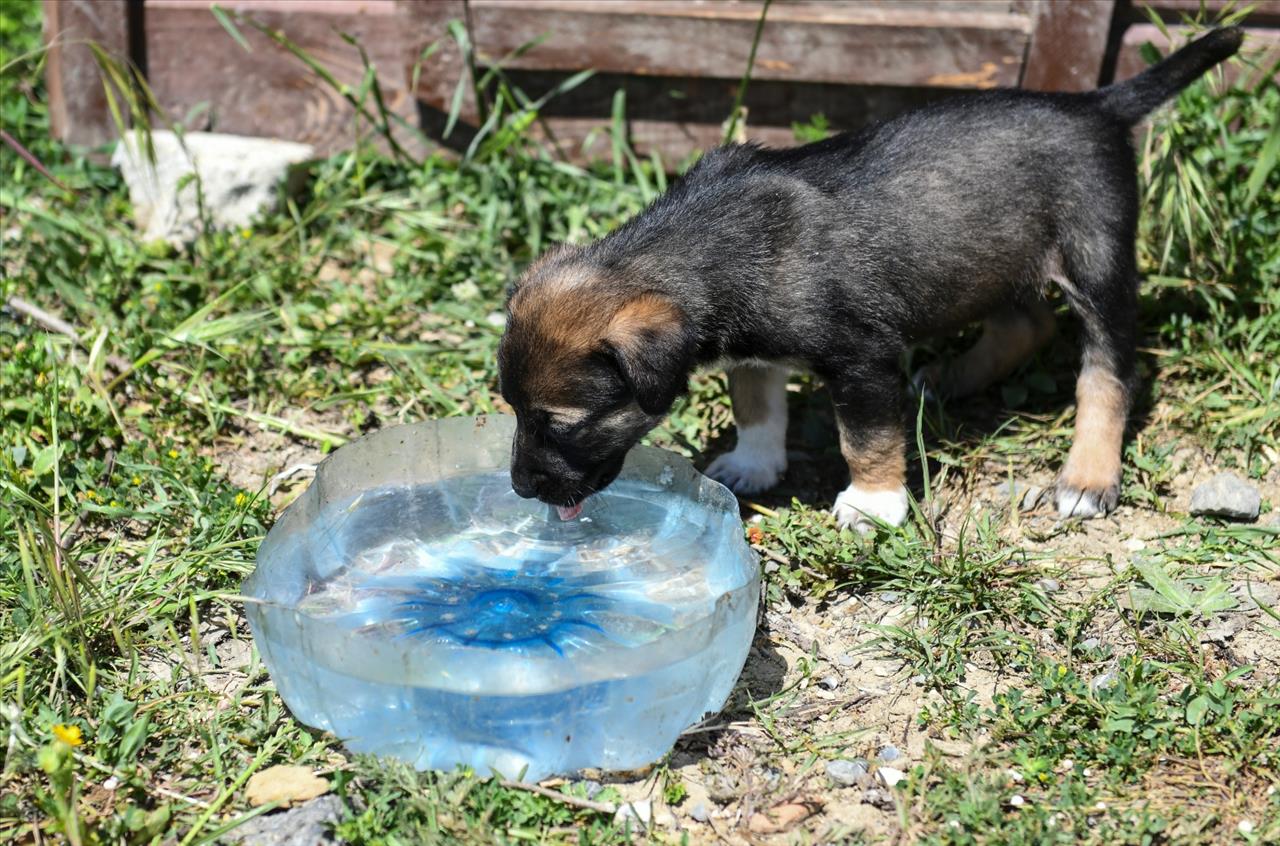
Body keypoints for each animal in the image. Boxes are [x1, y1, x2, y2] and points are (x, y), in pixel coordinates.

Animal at [496, 31, 1239, 527]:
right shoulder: (754, 351)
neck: (705, 248)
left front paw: (874, 505)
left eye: (562, 422)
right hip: (985, 258)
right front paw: (753, 462)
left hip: (1096, 259)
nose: (521, 489)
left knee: (1108, 369)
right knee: (1025, 323)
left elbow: (867, 438)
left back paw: (1087, 473)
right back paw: (947, 380)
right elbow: (757, 405)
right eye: (512, 409)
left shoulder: (862, 360)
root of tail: (1099, 105)